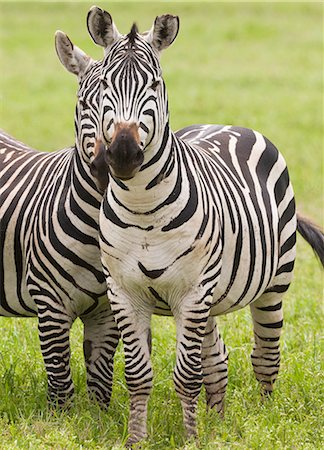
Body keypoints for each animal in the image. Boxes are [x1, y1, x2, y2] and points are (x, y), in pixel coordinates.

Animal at [0, 30, 119, 404]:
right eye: (83, 104)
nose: (104, 166)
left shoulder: (107, 311)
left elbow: (100, 380)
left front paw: (99, 417)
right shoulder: (49, 304)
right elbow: (60, 383)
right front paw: (61, 417)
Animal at [86, 7, 324, 446]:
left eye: (155, 84)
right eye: (106, 85)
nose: (124, 154)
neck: (143, 209)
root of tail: (227, 125)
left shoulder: (193, 292)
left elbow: (186, 376)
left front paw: (190, 440)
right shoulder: (124, 293)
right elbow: (139, 375)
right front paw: (137, 439)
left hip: (274, 283)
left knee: (265, 355)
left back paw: (263, 415)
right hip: (209, 298)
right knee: (218, 359)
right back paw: (218, 418)